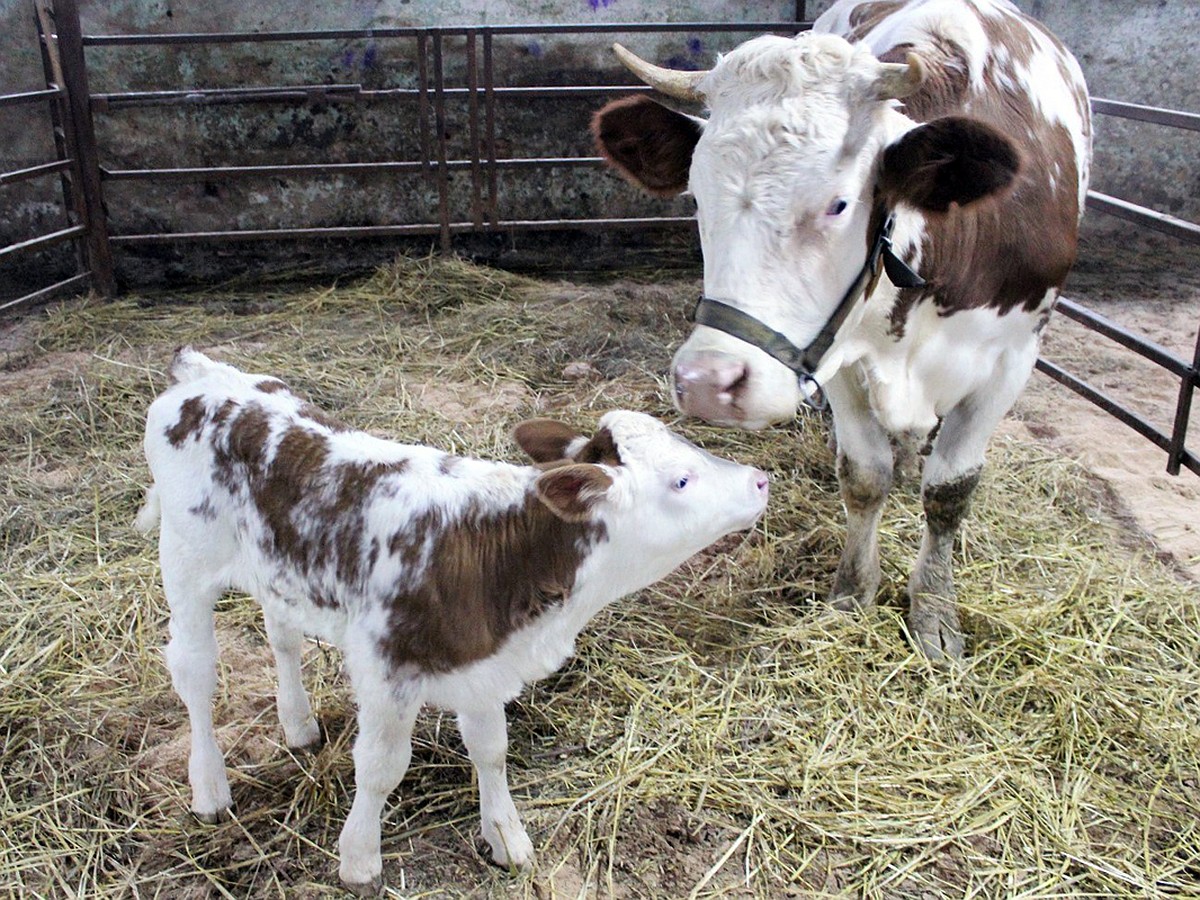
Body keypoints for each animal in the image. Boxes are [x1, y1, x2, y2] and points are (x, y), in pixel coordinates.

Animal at [138, 348, 768, 897]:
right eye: (682, 479)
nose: (759, 480)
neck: (500, 552)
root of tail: (202, 374)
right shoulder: (386, 668)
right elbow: (380, 768)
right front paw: (359, 859)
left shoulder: (483, 661)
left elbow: (491, 748)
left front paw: (506, 836)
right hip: (186, 560)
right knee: (195, 673)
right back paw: (210, 787)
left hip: (276, 567)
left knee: (283, 636)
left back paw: (298, 724)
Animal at [595, 0, 1094, 662]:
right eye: (697, 199)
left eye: (838, 204)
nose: (707, 382)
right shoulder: (835, 358)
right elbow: (864, 476)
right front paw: (853, 593)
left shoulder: (1011, 359)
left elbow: (951, 489)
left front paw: (935, 611)